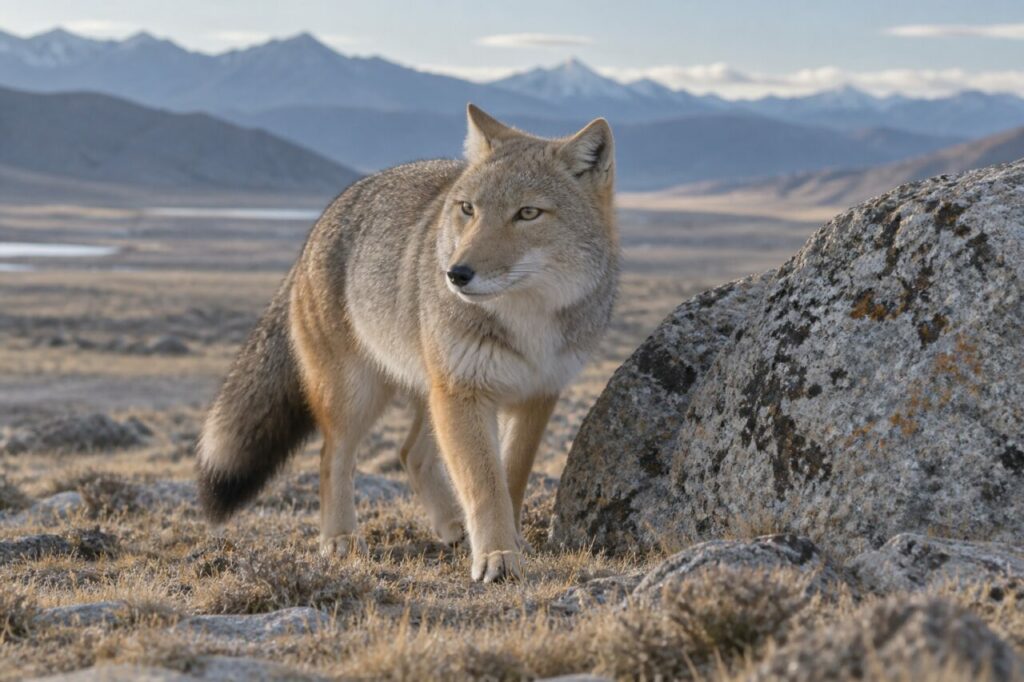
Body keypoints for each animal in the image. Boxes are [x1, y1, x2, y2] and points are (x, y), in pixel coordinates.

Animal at [196, 104, 618, 582]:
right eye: (468, 209)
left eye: (528, 213)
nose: (456, 273)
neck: (527, 322)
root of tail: (320, 224)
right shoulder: (464, 393)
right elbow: (484, 485)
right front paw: (496, 554)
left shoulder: (537, 395)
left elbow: (509, 479)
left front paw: (508, 542)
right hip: (360, 396)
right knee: (331, 457)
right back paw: (340, 538)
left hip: (429, 396)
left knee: (409, 453)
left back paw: (454, 528)